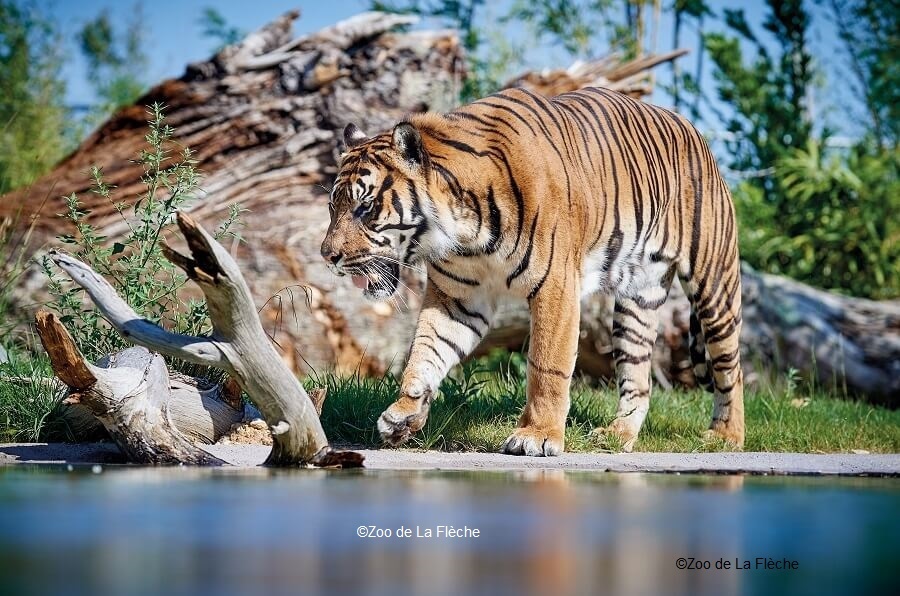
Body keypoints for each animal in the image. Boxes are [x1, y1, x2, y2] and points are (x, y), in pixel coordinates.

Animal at [320, 85, 740, 456]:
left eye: (365, 207)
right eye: (332, 206)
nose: (327, 256)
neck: (466, 232)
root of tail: (692, 129)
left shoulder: (557, 288)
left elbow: (547, 366)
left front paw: (536, 437)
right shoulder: (457, 298)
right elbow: (426, 351)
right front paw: (404, 414)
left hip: (714, 286)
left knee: (729, 368)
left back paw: (726, 436)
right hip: (637, 303)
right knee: (639, 377)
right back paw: (617, 436)